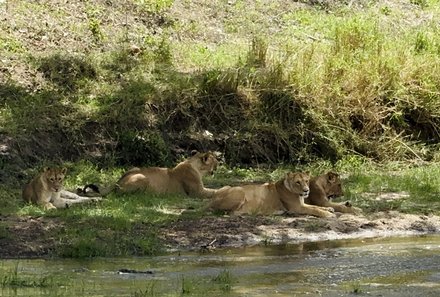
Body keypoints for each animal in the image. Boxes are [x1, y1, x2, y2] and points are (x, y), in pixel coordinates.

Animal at [81, 151, 219, 198]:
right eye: (214, 160)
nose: (219, 163)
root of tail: (117, 182)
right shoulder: (197, 192)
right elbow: (214, 191)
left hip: (135, 168)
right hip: (142, 177)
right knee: (122, 194)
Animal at [206, 170, 334, 216]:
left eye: (306, 181)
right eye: (298, 182)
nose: (306, 190)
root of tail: (211, 200)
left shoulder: (302, 204)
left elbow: (316, 206)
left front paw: (329, 209)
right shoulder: (297, 208)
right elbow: (315, 209)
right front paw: (328, 214)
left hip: (227, 187)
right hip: (239, 190)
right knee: (232, 212)